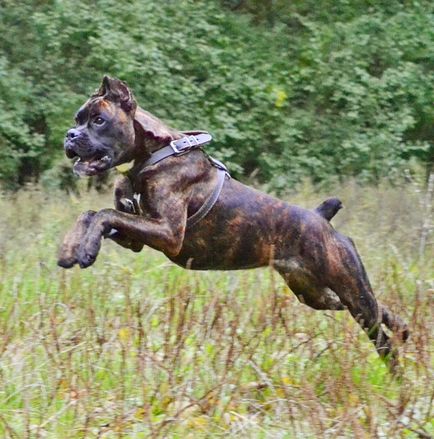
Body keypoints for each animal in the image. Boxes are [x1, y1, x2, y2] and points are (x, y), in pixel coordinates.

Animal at [59, 75, 408, 372]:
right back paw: (404, 328)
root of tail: (321, 218)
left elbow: (104, 213)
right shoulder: (136, 237)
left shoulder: (167, 233)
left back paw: (397, 379)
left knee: (381, 336)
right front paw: (71, 249)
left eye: (99, 120)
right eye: (77, 120)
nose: (70, 135)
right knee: (377, 308)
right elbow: (92, 214)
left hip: (350, 290)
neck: (149, 158)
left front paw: (85, 251)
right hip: (315, 294)